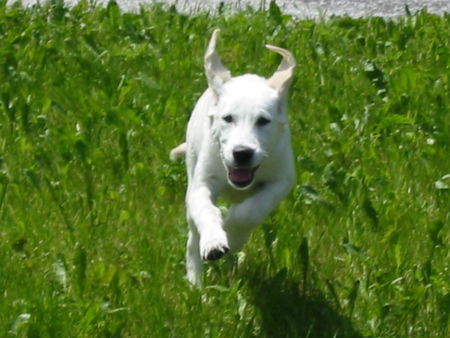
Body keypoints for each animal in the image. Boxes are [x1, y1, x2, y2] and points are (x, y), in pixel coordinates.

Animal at [171, 29, 296, 286]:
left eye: (263, 121)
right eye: (228, 118)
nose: (242, 153)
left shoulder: (282, 180)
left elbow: (250, 212)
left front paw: (231, 231)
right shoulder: (201, 184)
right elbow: (206, 210)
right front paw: (215, 241)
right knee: (192, 238)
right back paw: (195, 283)